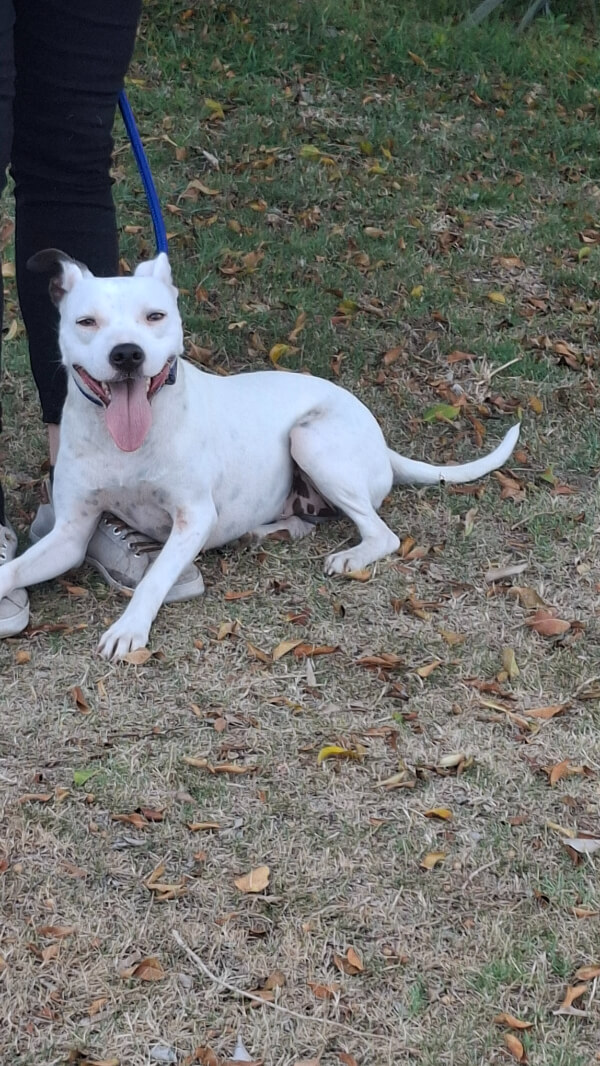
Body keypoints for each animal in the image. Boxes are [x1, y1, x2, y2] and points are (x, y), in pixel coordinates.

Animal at [0, 250, 519, 660]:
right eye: (86, 322)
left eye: (155, 316)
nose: (127, 354)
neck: (124, 441)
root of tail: (382, 441)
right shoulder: (69, 534)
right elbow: (12, 571)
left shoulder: (193, 517)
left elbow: (155, 577)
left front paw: (129, 628)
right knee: (308, 520)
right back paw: (266, 530)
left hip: (309, 439)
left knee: (383, 533)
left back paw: (350, 556)